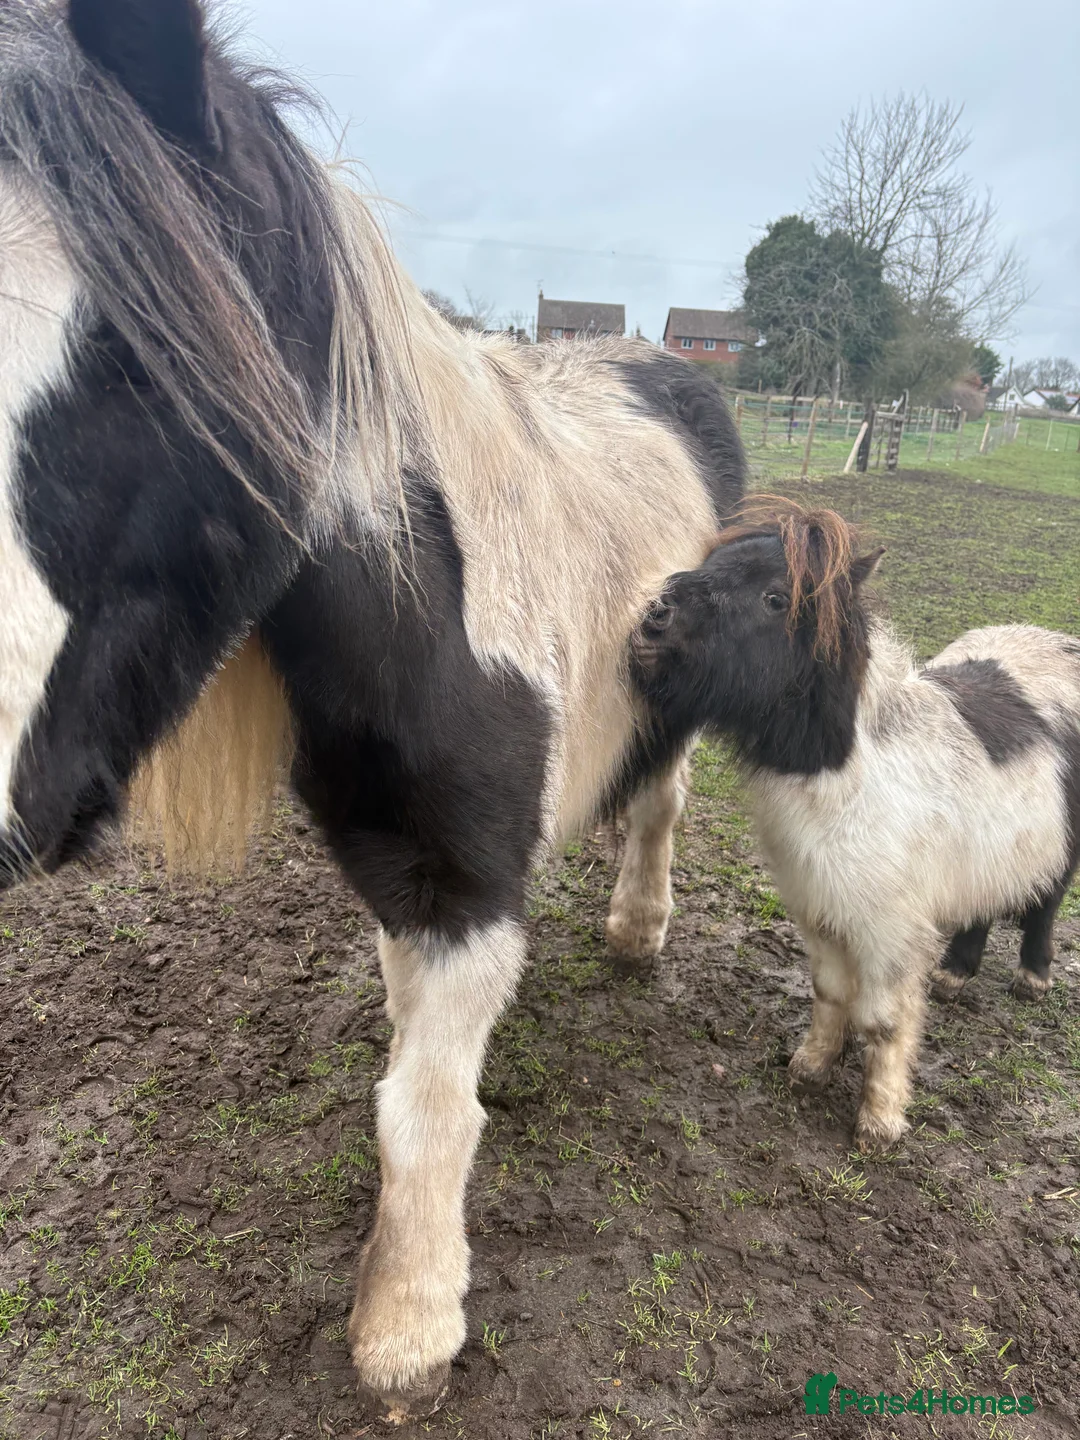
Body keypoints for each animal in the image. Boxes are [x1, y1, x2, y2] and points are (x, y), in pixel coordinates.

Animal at [0, 0, 743, 1410]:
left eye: (138, 357)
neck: (419, 612)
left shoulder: (465, 887)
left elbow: (425, 1106)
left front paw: (406, 1332)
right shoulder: (391, 862)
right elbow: (407, 1053)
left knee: (659, 799)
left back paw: (639, 925)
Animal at [632, 500, 1080, 1150]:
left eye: (775, 598)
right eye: (711, 563)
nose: (654, 619)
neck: (852, 775)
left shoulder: (888, 931)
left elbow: (884, 1019)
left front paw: (881, 1119)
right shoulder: (821, 908)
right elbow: (829, 992)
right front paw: (812, 1064)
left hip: (1061, 848)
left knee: (1046, 899)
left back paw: (1032, 976)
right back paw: (954, 975)